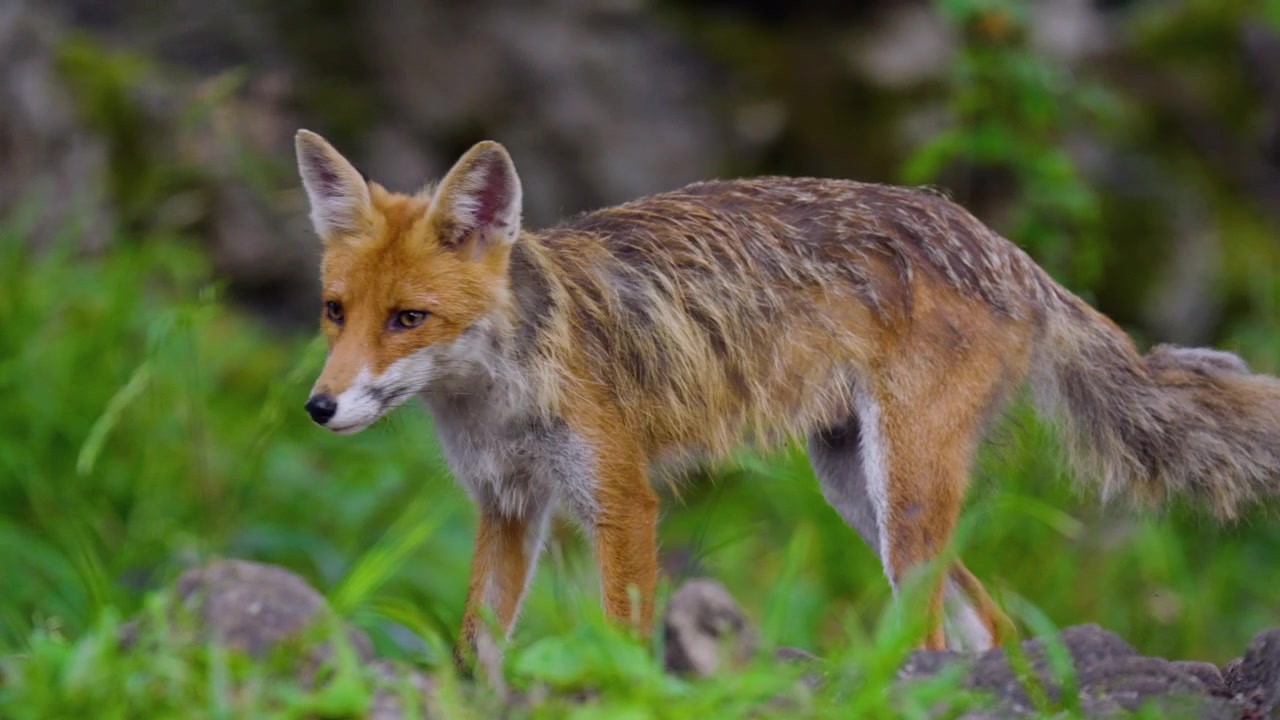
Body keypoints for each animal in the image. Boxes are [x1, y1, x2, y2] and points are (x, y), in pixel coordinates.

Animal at [293, 129, 1280, 662]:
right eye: (335, 312)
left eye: (409, 319)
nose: (318, 409)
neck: (495, 397)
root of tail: (997, 243)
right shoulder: (505, 506)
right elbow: (477, 647)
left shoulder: (621, 501)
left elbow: (621, 638)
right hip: (857, 491)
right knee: (990, 623)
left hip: (901, 495)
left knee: (932, 639)